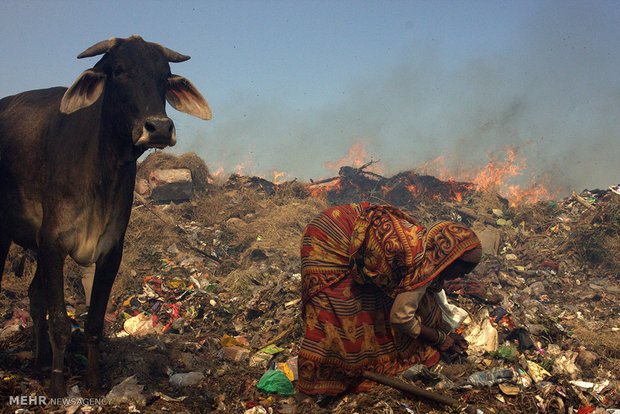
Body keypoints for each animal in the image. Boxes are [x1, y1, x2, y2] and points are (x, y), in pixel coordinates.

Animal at [0, 34, 212, 394]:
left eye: (164, 75)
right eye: (119, 70)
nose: (159, 128)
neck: (102, 168)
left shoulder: (111, 250)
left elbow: (95, 322)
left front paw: (95, 382)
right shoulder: (52, 243)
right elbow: (60, 321)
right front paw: (58, 388)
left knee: (34, 297)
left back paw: (40, 361)